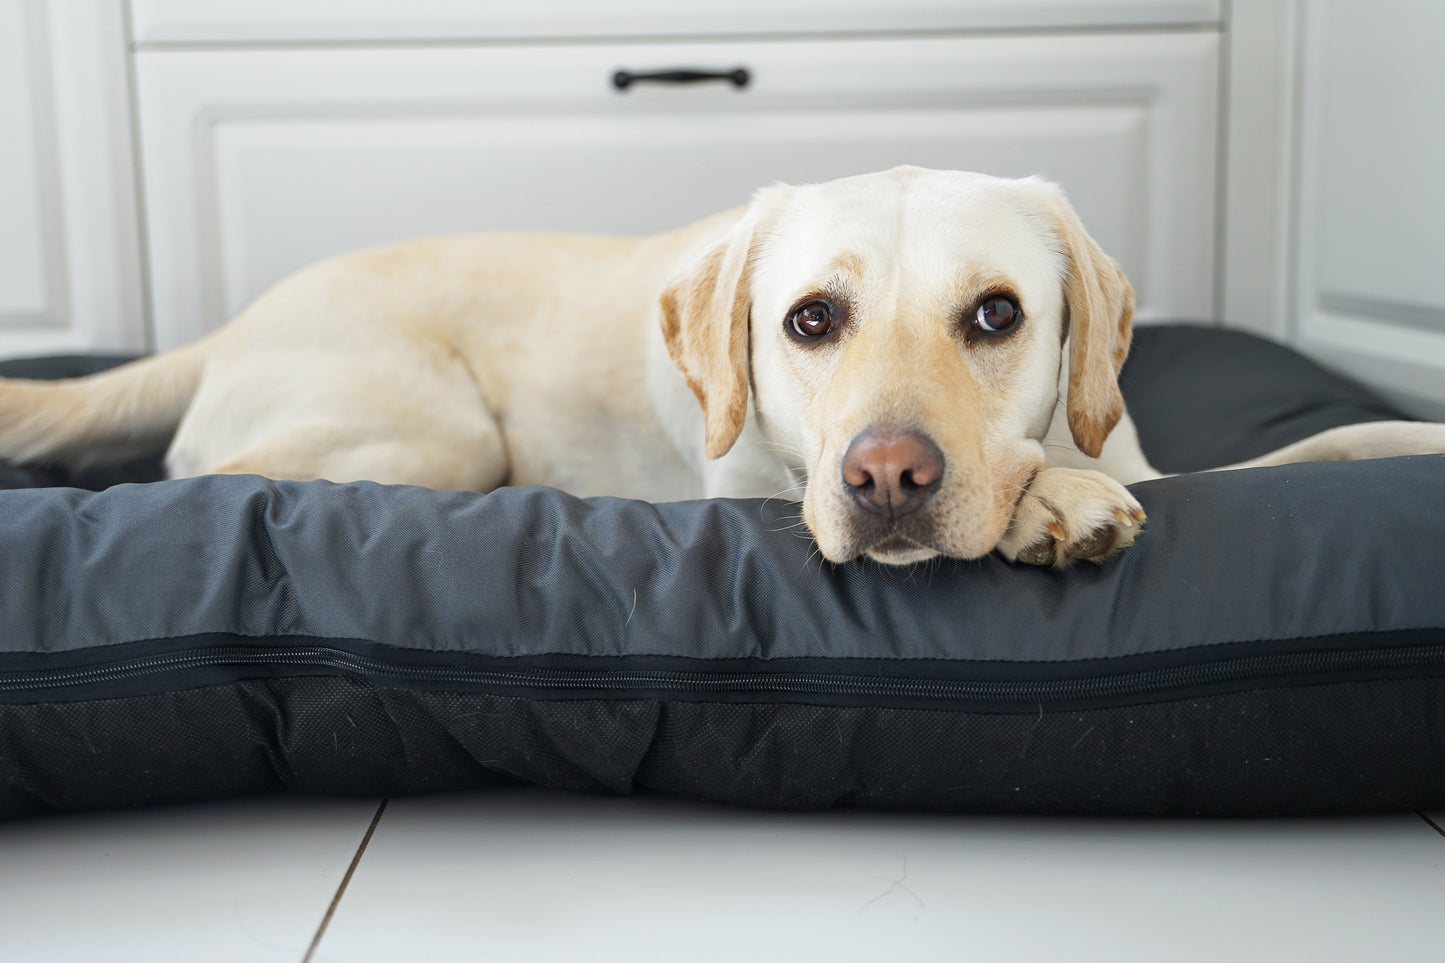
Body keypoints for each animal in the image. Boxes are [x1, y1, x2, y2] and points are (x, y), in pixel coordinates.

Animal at [2, 166, 1445, 566]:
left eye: (996, 315)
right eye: (809, 321)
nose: (887, 476)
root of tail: (228, 326)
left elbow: (1342, 444)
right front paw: (1051, 504)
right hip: (431, 435)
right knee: (188, 487)